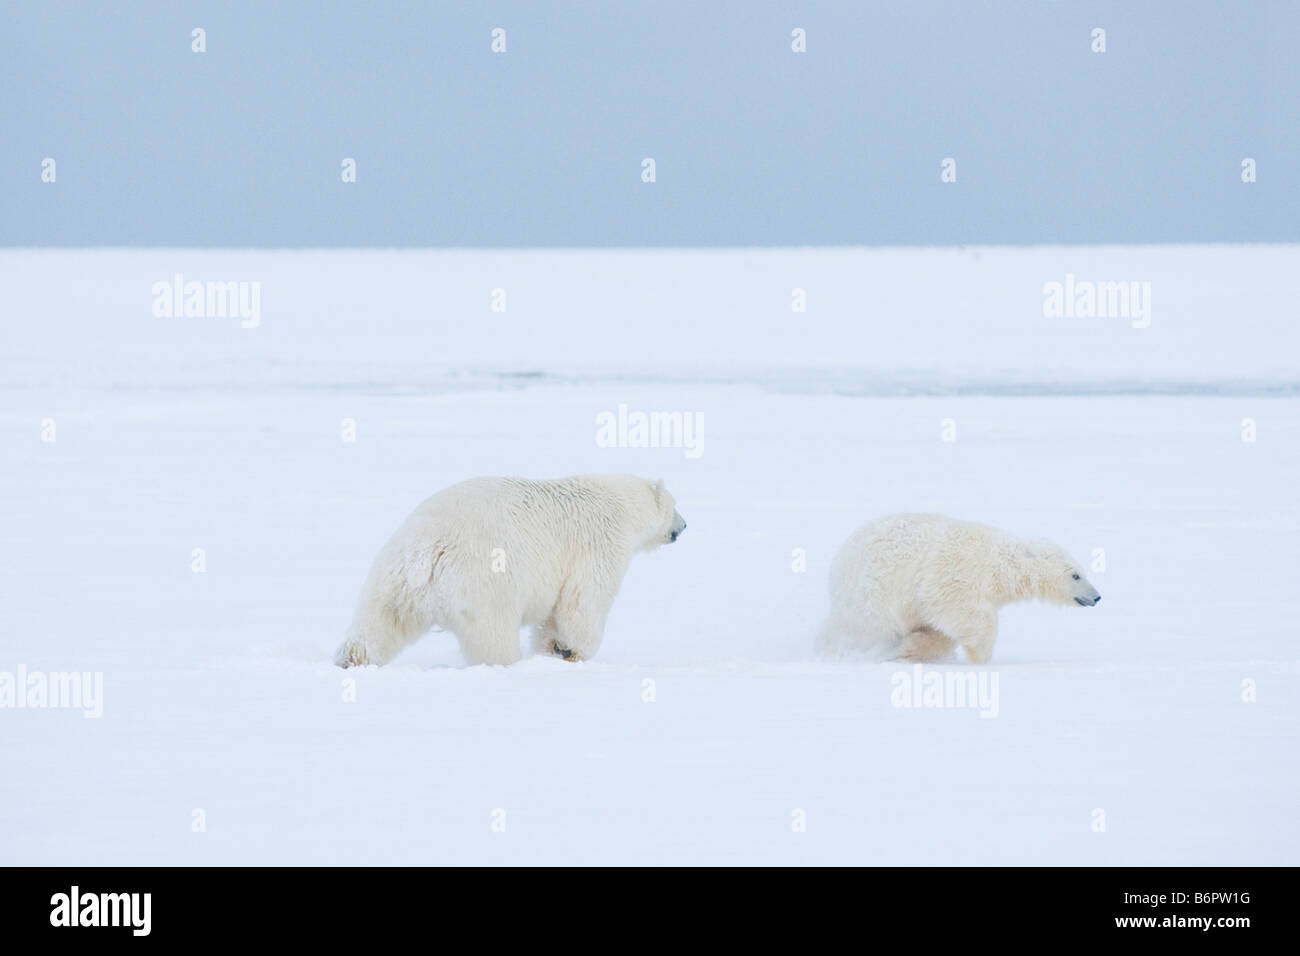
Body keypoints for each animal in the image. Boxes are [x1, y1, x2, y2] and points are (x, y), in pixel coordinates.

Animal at [334, 475, 686, 667]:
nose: (684, 526)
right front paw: (572, 649)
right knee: (493, 636)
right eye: (675, 506)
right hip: (484, 584)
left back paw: (350, 659)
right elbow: (582, 602)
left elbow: (552, 616)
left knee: (379, 622)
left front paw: (553, 648)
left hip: (391, 576)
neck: (621, 502)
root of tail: (428, 547)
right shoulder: (600, 544)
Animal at [818, 513, 1100, 664]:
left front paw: (915, 646)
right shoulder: (955, 572)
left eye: (1082, 571)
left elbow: (941, 628)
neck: (1000, 562)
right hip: (871, 601)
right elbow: (960, 611)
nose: (1097, 596)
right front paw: (981, 657)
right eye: (1076, 575)